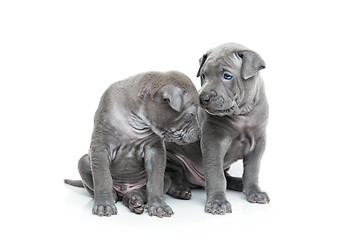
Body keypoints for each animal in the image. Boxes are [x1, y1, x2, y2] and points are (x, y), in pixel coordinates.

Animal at [64, 71, 200, 218]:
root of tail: (124, 190)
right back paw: (114, 196)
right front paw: (104, 205)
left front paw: (159, 206)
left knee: (137, 193)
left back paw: (134, 200)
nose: (199, 134)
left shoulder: (155, 152)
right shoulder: (100, 148)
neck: (136, 120)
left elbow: (155, 182)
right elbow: (103, 178)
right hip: (83, 162)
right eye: (191, 114)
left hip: (165, 178)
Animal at [166, 42, 270, 214]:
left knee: (227, 176)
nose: (203, 98)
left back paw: (240, 183)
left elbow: (252, 169)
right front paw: (218, 202)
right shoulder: (214, 141)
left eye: (227, 76)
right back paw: (180, 190)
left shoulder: (259, 142)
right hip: (172, 158)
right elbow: (216, 174)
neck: (241, 114)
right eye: (203, 76)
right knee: (174, 175)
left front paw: (254, 192)